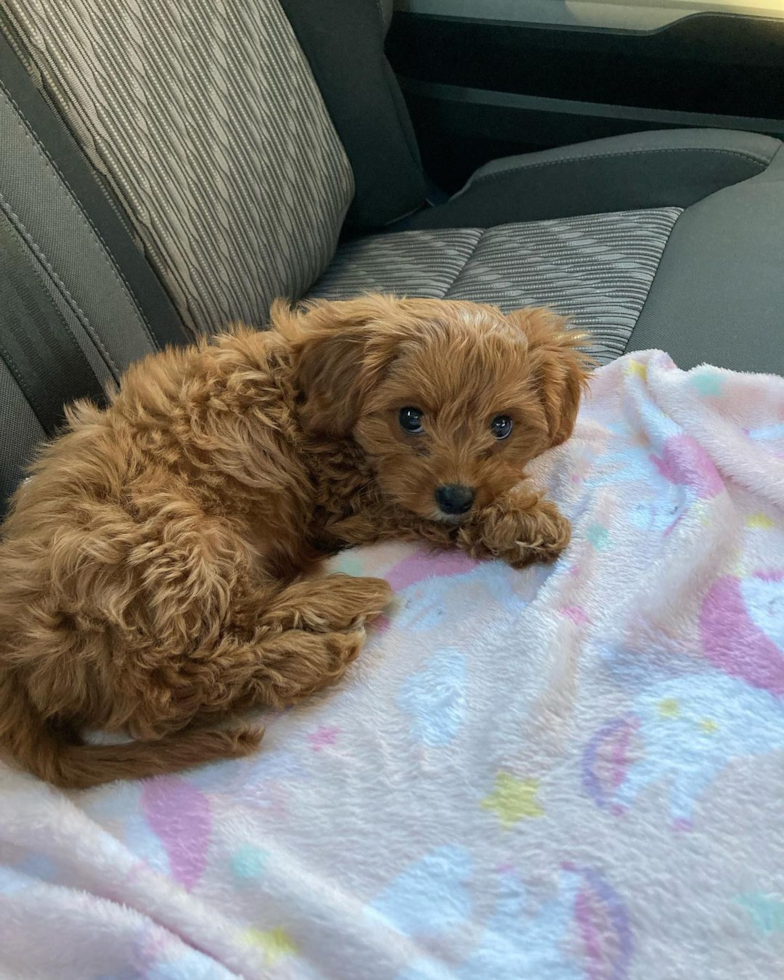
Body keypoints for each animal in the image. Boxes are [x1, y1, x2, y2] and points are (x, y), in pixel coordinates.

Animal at [0, 292, 588, 788]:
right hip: (169, 536)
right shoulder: (350, 504)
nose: (457, 495)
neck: (300, 391)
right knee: (172, 686)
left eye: (502, 425)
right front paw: (522, 519)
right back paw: (315, 641)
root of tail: (18, 658)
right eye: (409, 417)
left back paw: (323, 605)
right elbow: (410, 507)